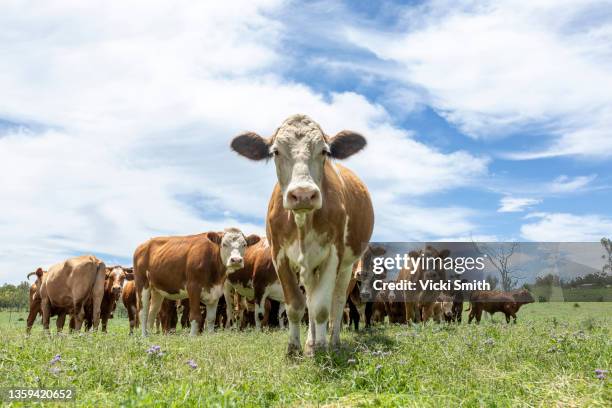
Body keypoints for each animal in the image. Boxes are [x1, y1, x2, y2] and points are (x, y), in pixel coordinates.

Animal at [230, 113, 372, 356]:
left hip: (347, 267)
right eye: (276, 151)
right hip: (308, 269)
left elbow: (322, 307)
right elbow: (296, 305)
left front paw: (322, 347)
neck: (302, 222)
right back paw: (310, 342)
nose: (303, 194)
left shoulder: (333, 255)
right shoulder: (279, 255)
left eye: (324, 151)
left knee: (336, 302)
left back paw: (333, 342)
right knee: (311, 298)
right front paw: (295, 347)